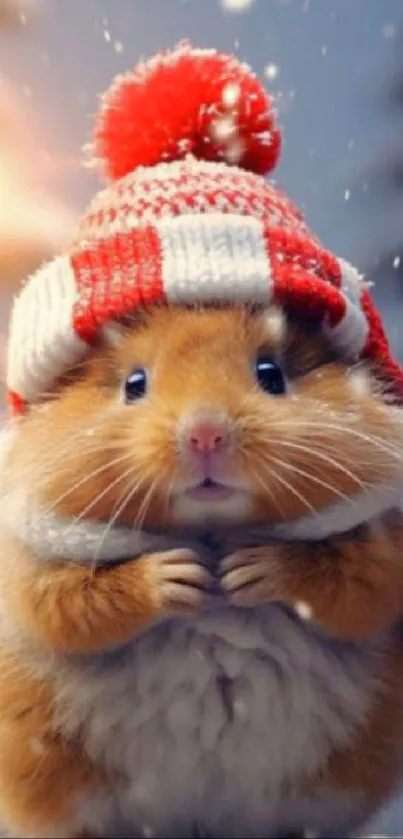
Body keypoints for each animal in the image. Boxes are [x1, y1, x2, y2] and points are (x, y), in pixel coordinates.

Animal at [0, 304, 403, 839]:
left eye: (271, 374)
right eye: (134, 384)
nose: (205, 433)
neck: (211, 528)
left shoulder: (383, 554)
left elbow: (351, 587)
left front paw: (243, 571)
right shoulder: (30, 574)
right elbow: (72, 605)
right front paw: (183, 575)